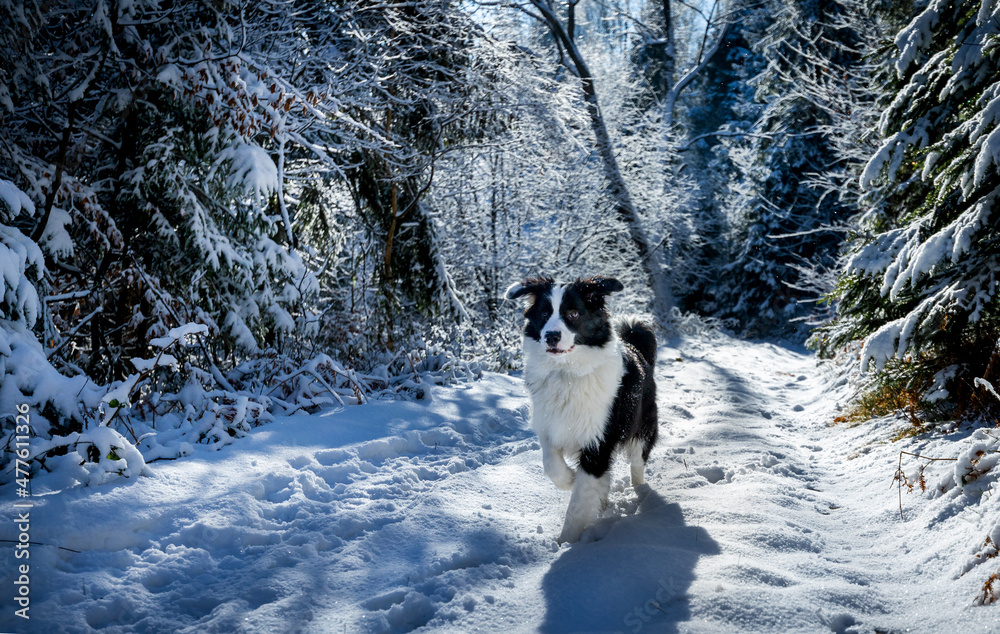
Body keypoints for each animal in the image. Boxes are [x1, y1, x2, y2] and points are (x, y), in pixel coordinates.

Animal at [508, 274, 656, 540]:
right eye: (544, 313)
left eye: (574, 314)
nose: (551, 336)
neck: (567, 373)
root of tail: (636, 345)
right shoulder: (549, 424)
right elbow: (551, 465)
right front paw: (570, 479)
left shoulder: (598, 444)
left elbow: (578, 503)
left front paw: (567, 542)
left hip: (643, 426)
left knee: (638, 463)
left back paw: (641, 494)